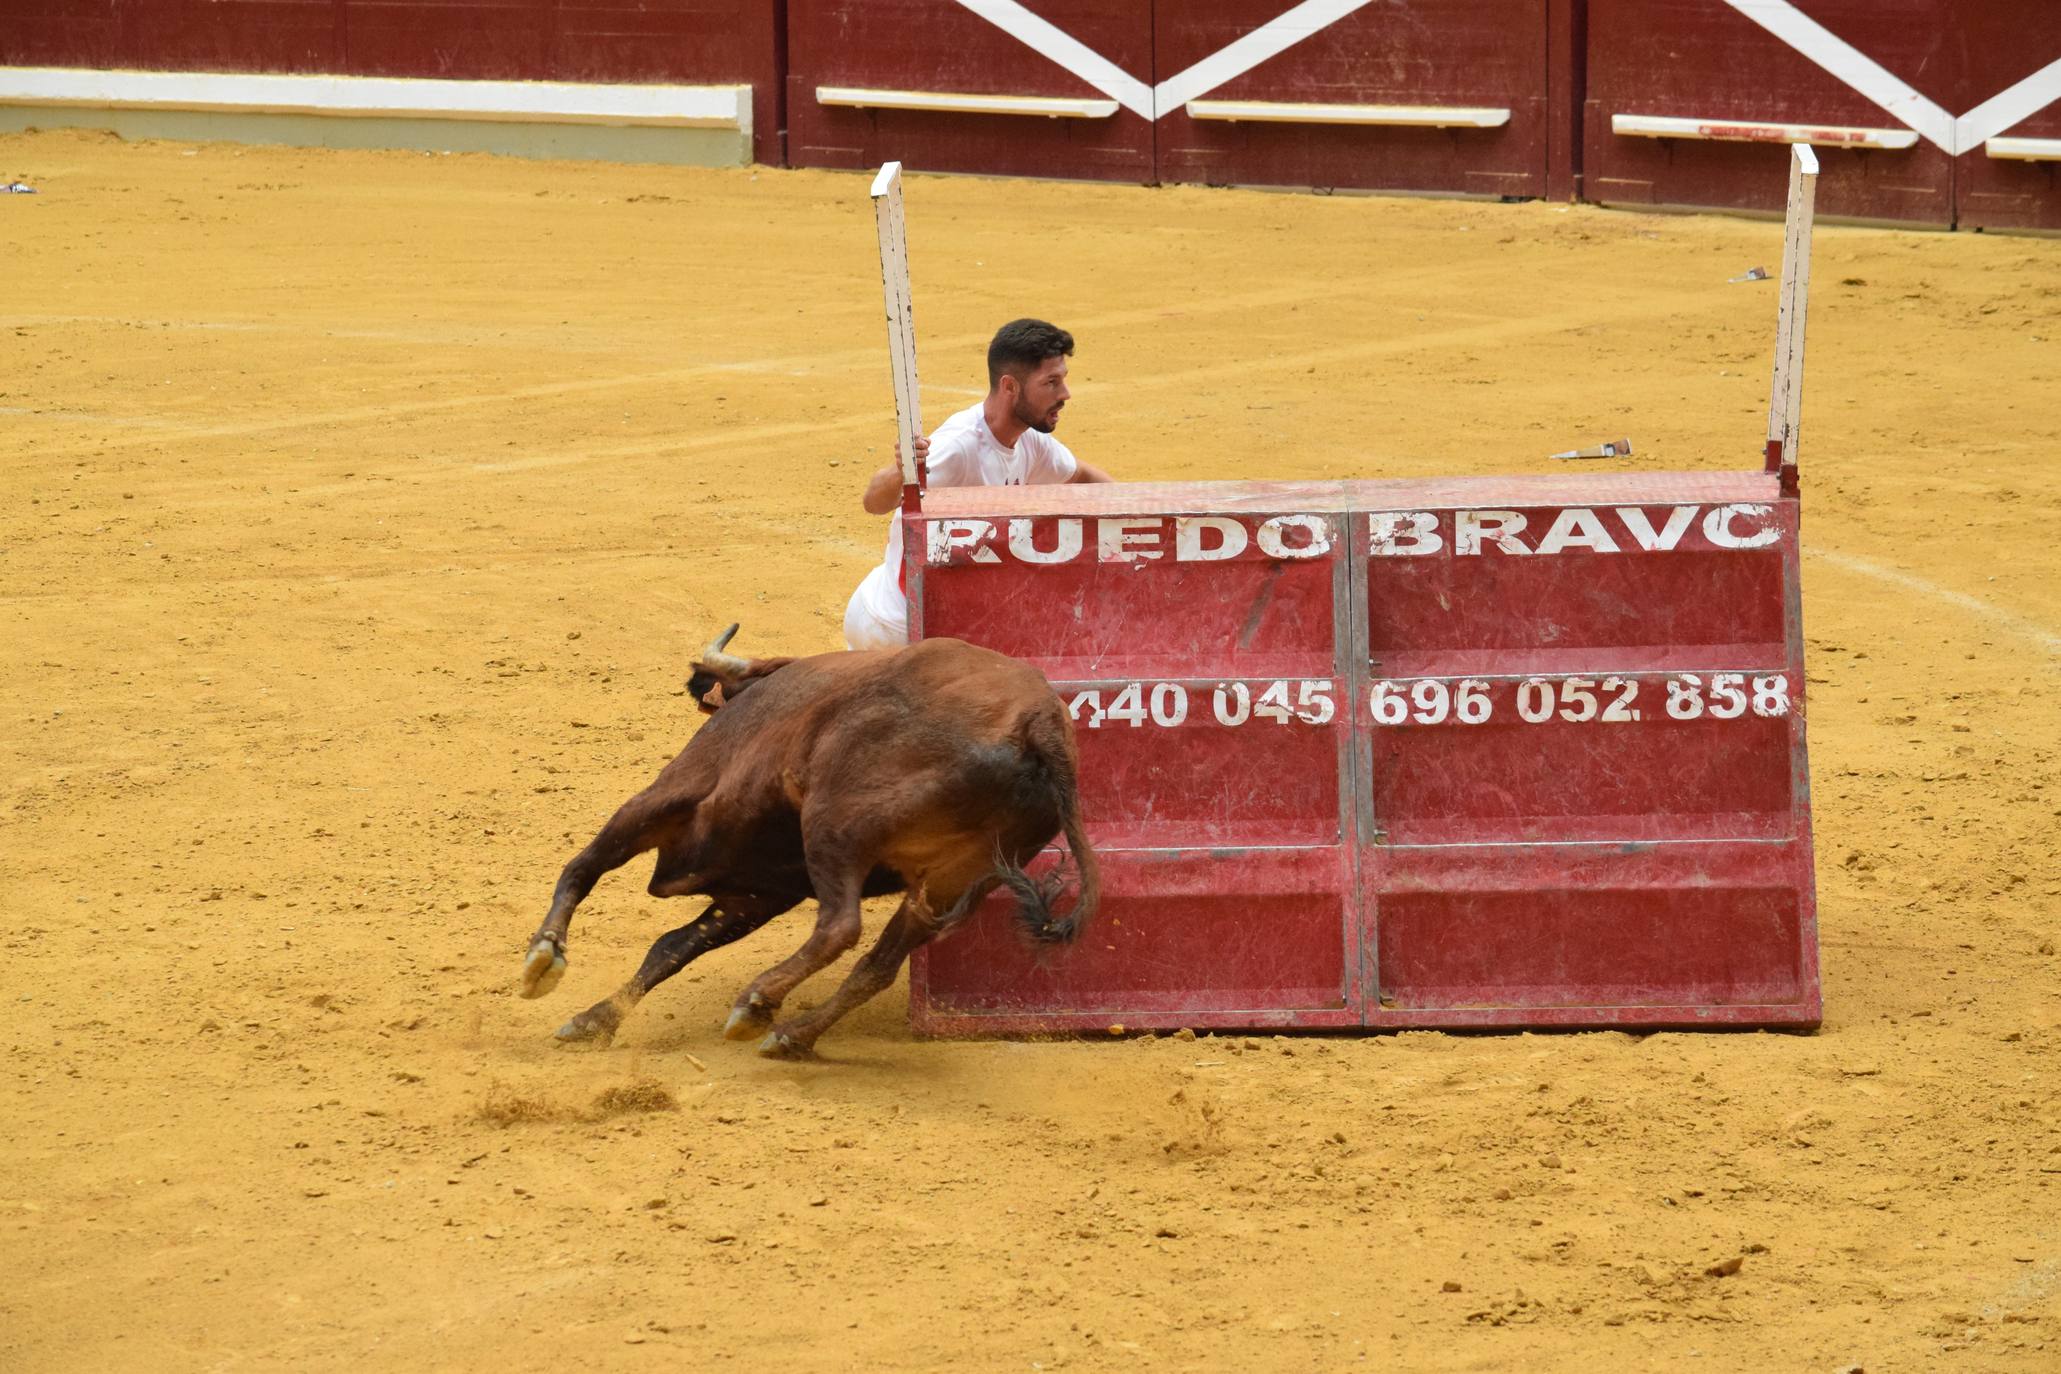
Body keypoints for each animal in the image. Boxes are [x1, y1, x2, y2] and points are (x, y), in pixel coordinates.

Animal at [519, 630, 1096, 1062]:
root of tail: (1037, 722)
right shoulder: (757, 895)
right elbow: (672, 947)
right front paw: (594, 1020)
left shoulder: (668, 794)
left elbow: (583, 866)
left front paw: (543, 958)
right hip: (953, 880)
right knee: (877, 965)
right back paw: (791, 1035)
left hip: (835, 825)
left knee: (840, 926)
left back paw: (757, 1003)